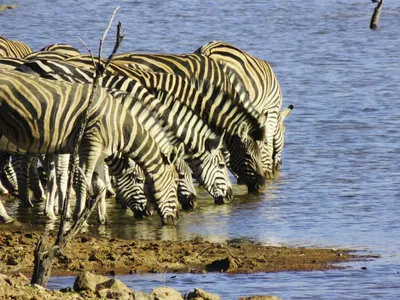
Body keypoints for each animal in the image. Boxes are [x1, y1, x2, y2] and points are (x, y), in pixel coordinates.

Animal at [0, 69, 181, 225]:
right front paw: (77, 216)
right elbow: (80, 180)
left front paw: (103, 219)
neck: (118, 125)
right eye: (175, 183)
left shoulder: (100, 154)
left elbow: (100, 185)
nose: (175, 219)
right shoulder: (89, 146)